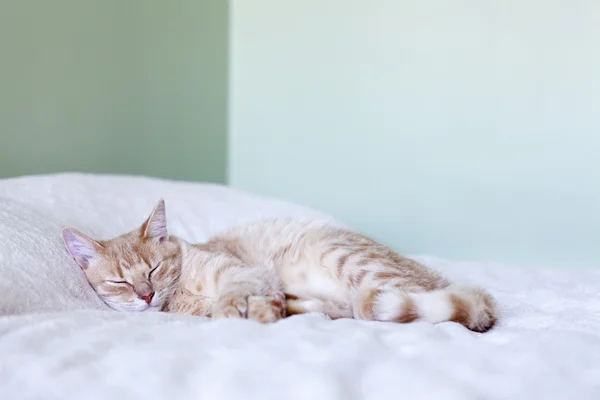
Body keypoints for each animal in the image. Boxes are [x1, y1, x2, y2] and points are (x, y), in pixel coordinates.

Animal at [61, 199, 496, 332]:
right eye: (119, 282)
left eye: (152, 270)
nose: (147, 295)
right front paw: (264, 308)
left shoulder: (242, 272)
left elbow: (232, 294)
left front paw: (235, 308)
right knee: (346, 309)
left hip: (347, 259)